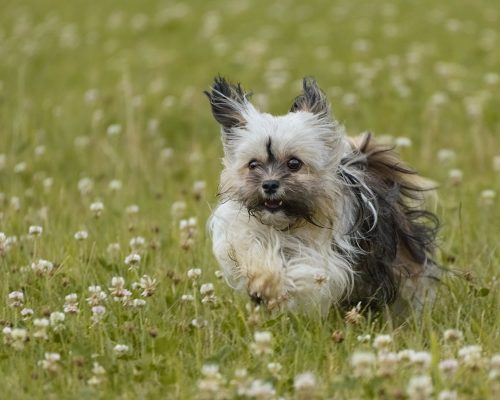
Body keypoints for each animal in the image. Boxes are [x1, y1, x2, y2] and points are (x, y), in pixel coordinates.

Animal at [205, 77, 440, 316]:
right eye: (253, 164)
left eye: (294, 163)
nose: (269, 184)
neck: (288, 224)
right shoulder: (243, 232)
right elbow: (252, 250)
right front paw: (264, 282)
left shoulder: (329, 257)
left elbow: (307, 270)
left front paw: (272, 286)